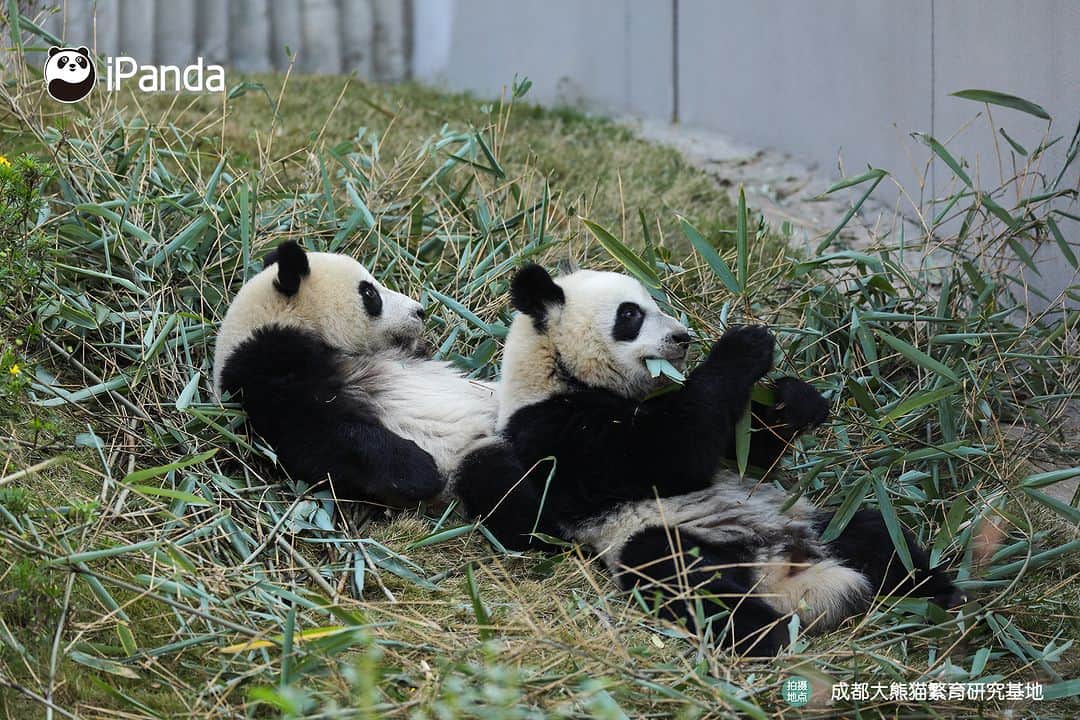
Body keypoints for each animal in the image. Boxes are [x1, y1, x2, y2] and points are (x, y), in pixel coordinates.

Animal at [455, 263, 963, 656]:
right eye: (630, 314)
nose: (682, 337)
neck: (558, 373)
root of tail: (781, 567)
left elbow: (747, 460)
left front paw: (794, 400)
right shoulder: (555, 432)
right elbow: (666, 456)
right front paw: (745, 345)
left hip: (813, 522)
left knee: (878, 536)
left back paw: (941, 597)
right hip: (669, 540)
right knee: (681, 576)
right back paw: (769, 636)